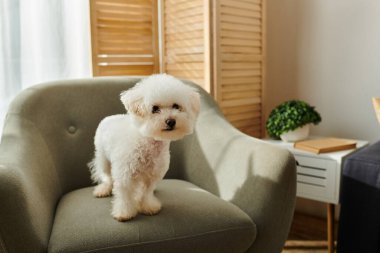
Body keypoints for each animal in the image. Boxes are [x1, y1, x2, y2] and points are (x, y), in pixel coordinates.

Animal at [89, 73, 202, 221]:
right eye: (155, 109)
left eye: (176, 106)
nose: (171, 121)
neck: (147, 142)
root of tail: (109, 117)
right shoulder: (124, 175)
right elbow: (124, 196)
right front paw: (124, 213)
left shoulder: (153, 176)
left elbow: (147, 192)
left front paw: (148, 206)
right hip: (103, 158)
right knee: (106, 176)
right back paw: (103, 189)